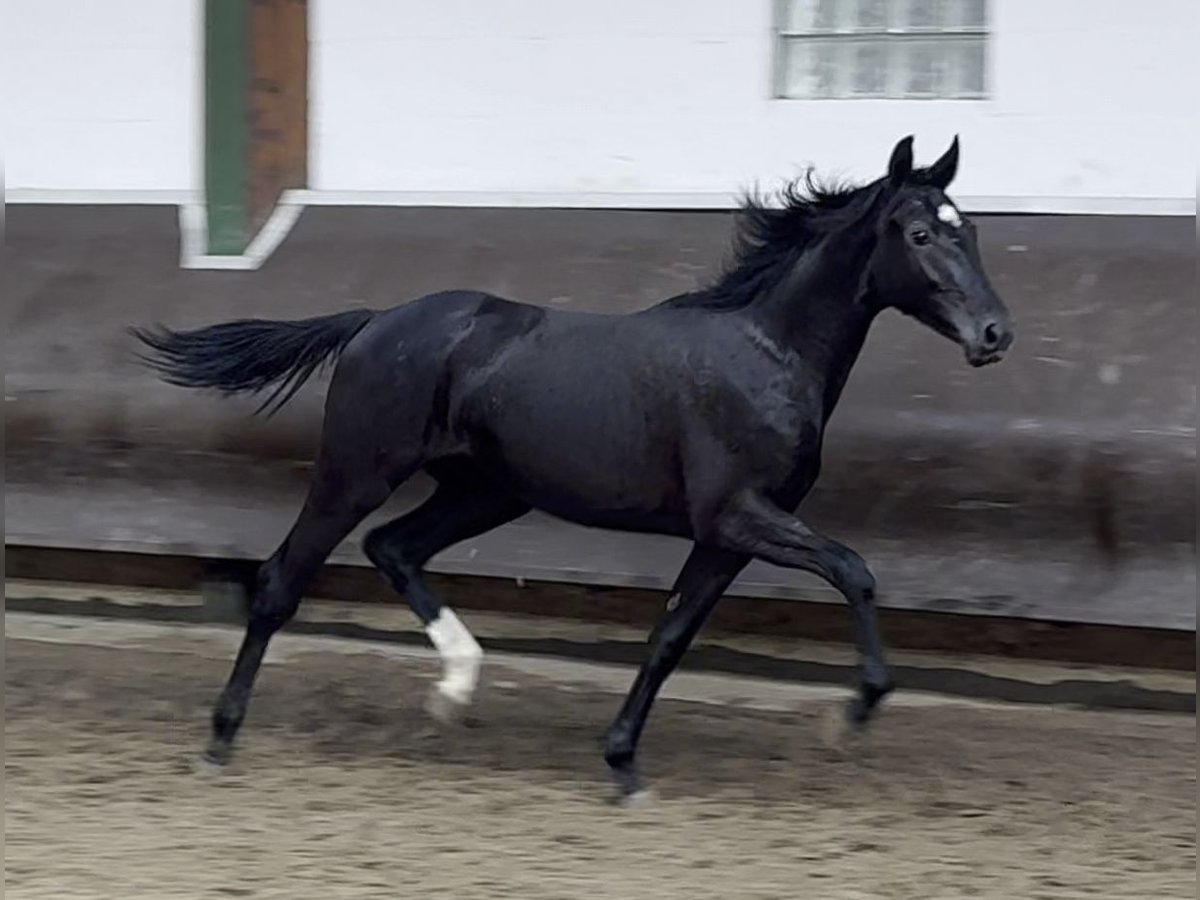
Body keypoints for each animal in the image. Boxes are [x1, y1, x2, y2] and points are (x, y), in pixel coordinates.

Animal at [133, 135, 1012, 801]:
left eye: (967, 230)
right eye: (921, 235)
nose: (995, 333)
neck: (766, 354)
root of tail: (375, 319)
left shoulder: (725, 536)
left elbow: (669, 637)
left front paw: (622, 764)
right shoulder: (739, 514)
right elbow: (855, 569)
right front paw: (850, 715)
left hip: (488, 492)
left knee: (394, 547)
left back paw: (456, 689)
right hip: (357, 471)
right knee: (282, 580)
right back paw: (221, 737)